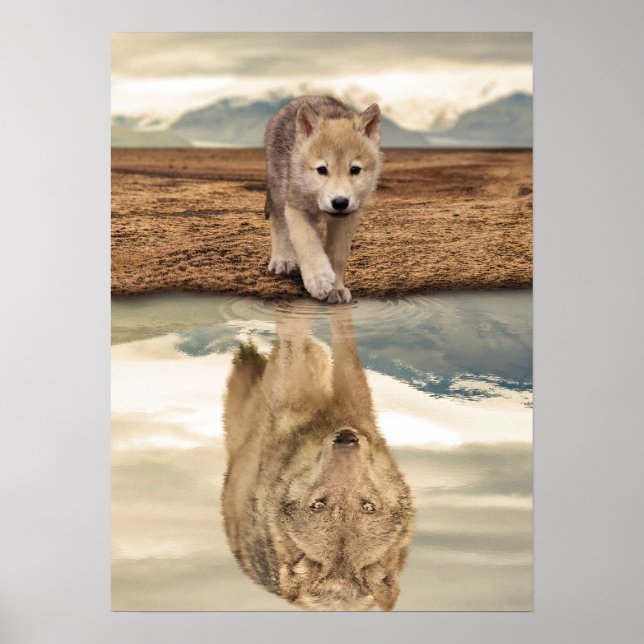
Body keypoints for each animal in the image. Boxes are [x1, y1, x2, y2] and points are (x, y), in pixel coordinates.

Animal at [222, 306, 414, 611]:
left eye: (368, 506)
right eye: (318, 505)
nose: (346, 439)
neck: (325, 422)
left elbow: (307, 333)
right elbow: (329, 330)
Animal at [264, 96, 382, 303]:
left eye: (355, 169)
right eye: (322, 169)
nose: (340, 202)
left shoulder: (348, 217)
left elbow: (338, 254)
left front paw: (336, 289)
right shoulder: (295, 207)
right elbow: (306, 240)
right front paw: (318, 278)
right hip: (278, 191)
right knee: (279, 222)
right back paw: (283, 259)